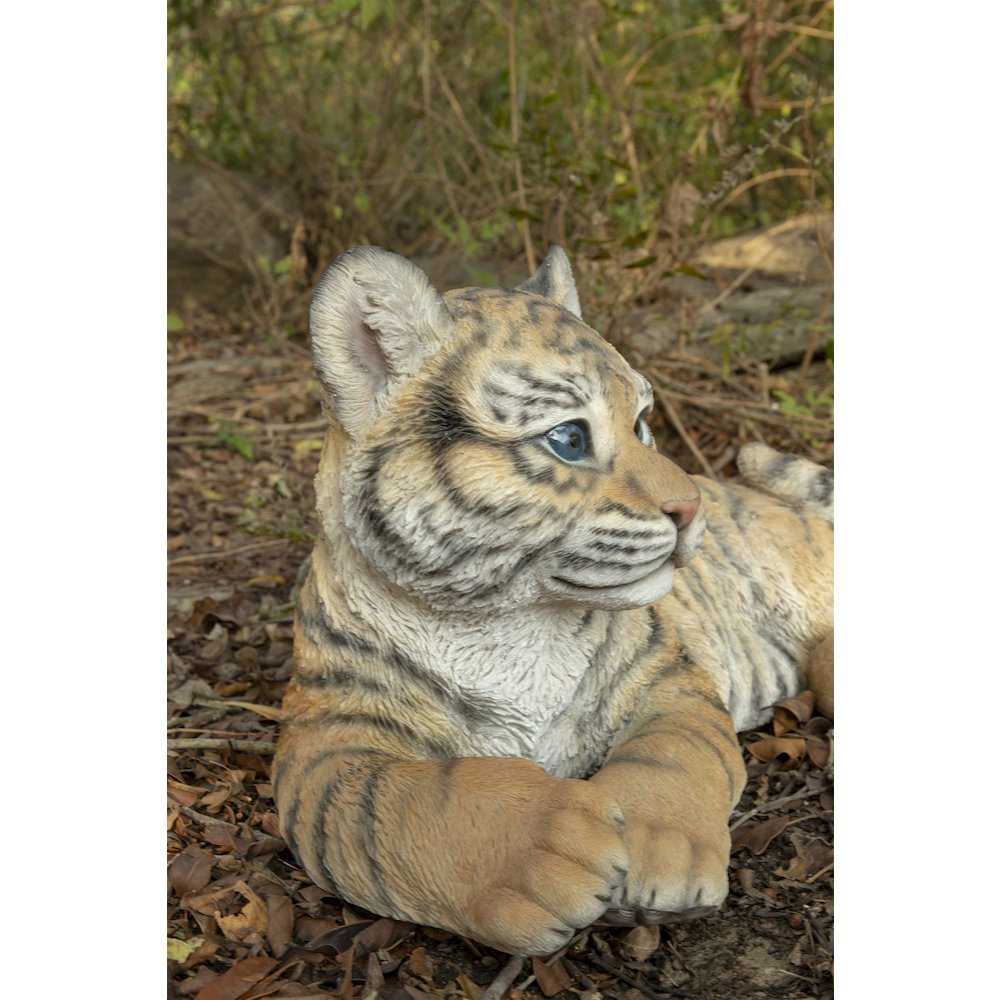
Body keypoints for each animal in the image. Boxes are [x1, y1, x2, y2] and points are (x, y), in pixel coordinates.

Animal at [273, 245, 833, 958]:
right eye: (568, 439)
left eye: (641, 422)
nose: (691, 508)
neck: (503, 622)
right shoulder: (322, 746)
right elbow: (409, 802)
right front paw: (544, 848)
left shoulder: (670, 677)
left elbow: (676, 753)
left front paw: (661, 848)